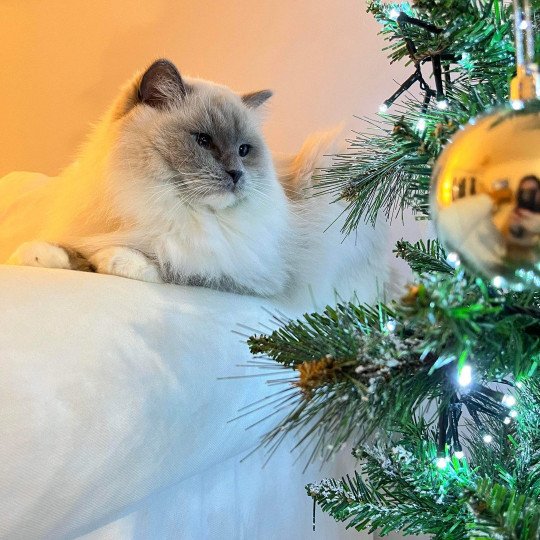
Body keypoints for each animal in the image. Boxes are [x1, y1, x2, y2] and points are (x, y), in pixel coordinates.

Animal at [1, 59, 388, 304]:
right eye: (203, 141)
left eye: (244, 150)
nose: (237, 174)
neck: (156, 203)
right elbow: (72, 251)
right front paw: (38, 255)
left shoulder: (246, 274)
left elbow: (173, 266)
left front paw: (114, 261)